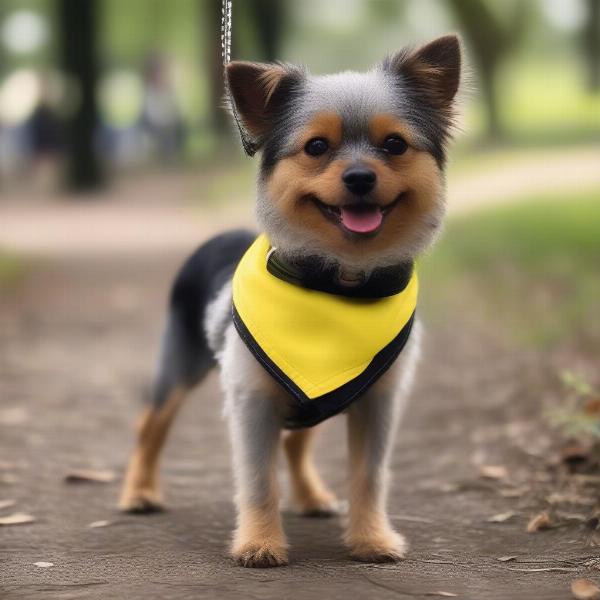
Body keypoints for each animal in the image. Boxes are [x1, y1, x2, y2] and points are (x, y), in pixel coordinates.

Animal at [119, 32, 462, 568]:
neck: (338, 281)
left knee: (297, 448)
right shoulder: (251, 402)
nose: (360, 177)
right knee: (149, 426)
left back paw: (312, 497)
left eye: (394, 145)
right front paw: (259, 544)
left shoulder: (378, 404)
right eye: (317, 147)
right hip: (179, 367)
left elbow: (369, 475)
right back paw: (139, 493)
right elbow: (259, 479)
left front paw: (371, 539)